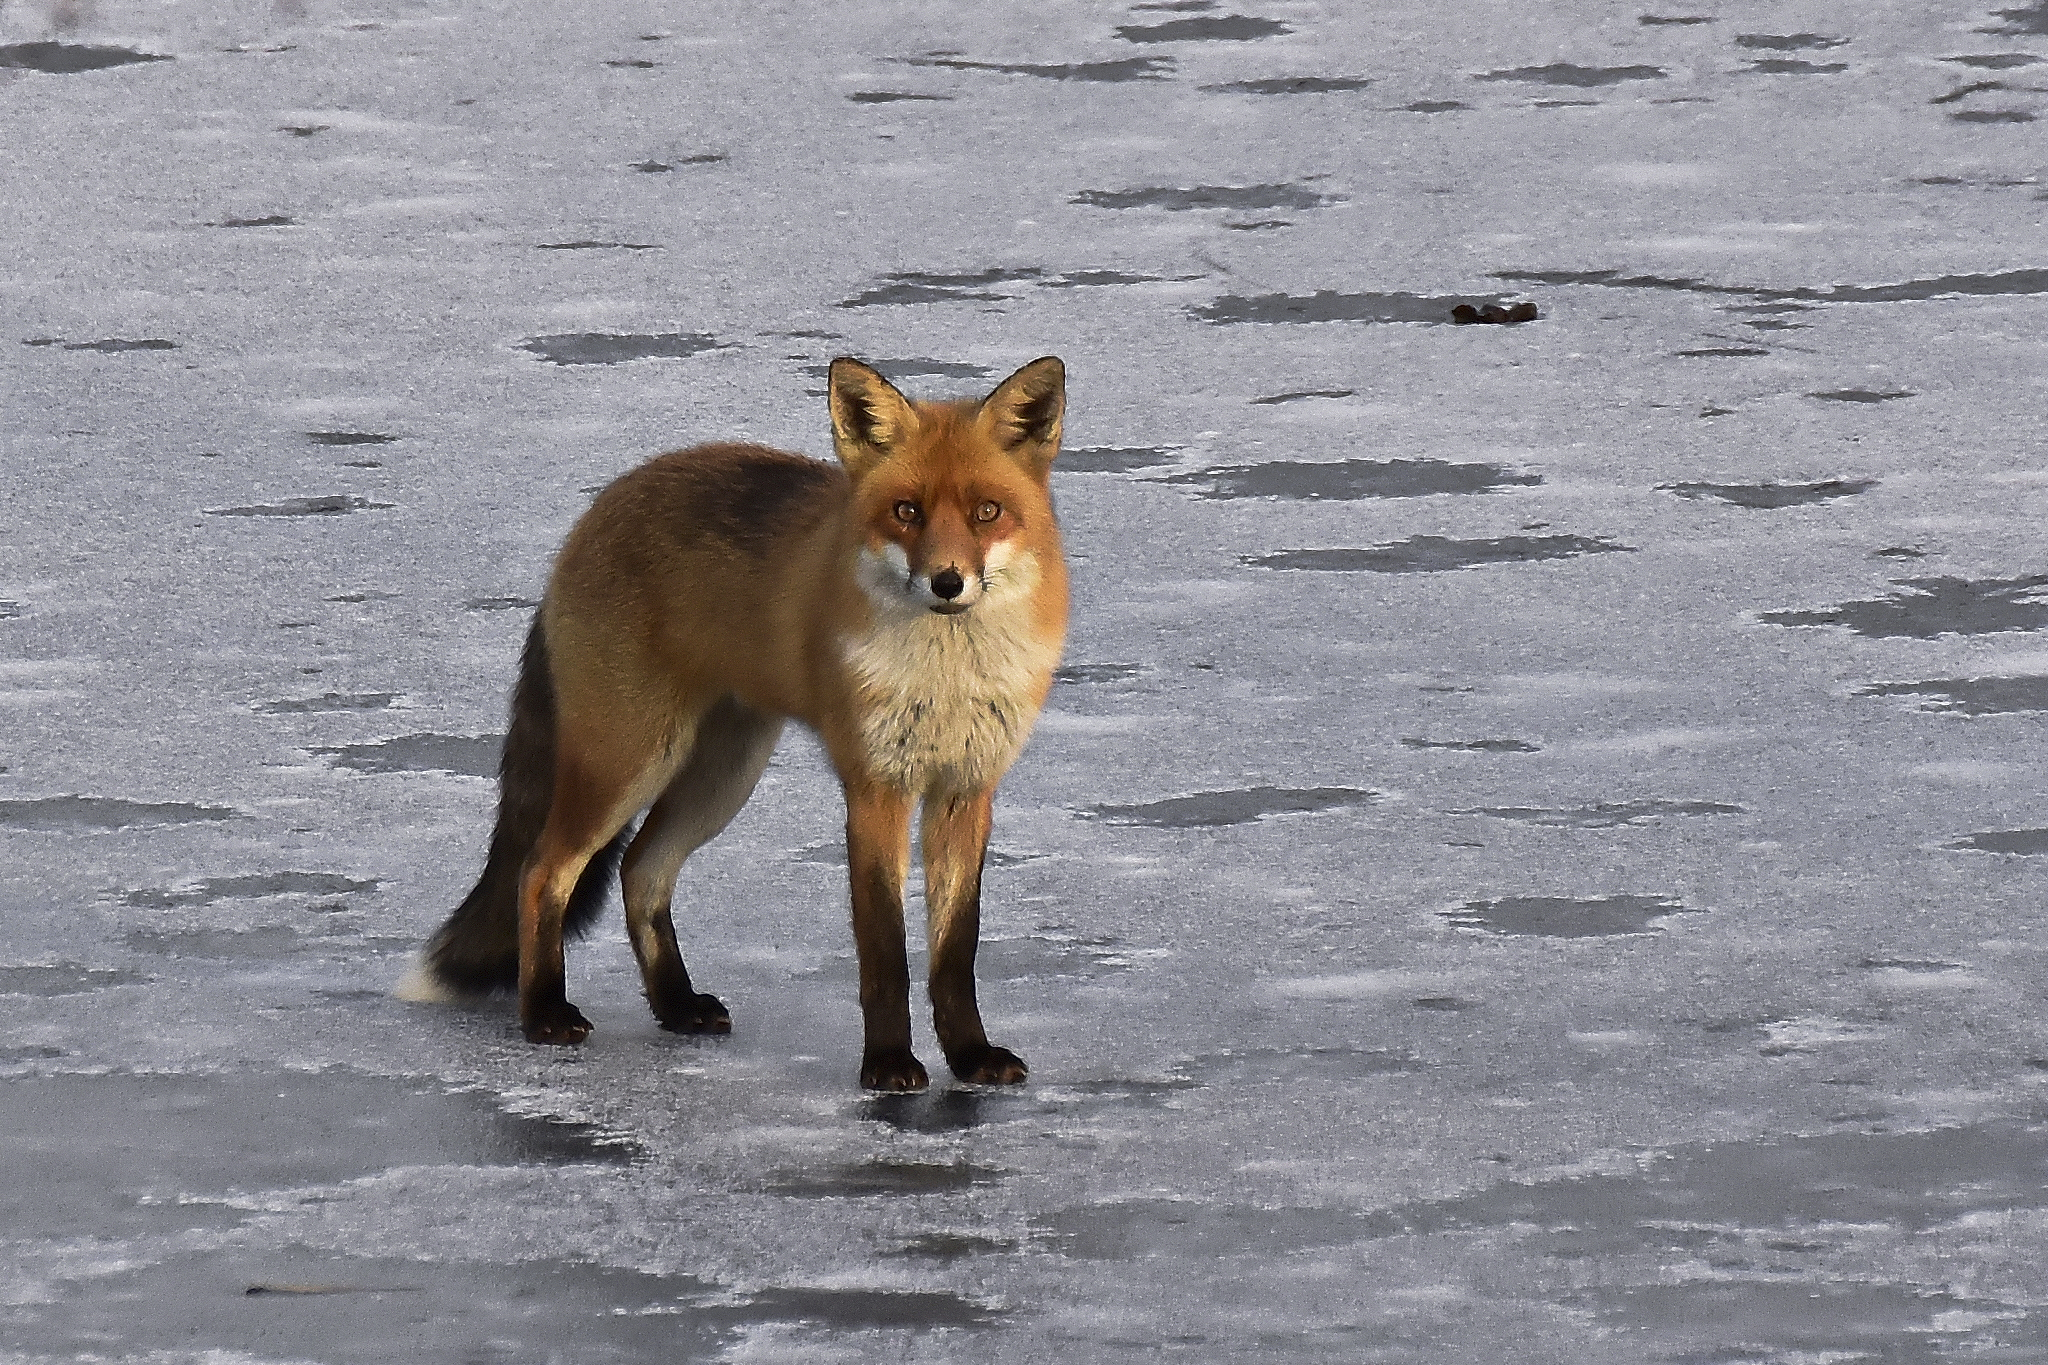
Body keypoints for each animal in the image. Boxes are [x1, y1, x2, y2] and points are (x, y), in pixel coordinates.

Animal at [398, 356, 1069, 1091]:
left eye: (987, 512)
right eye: (906, 511)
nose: (947, 583)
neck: (946, 676)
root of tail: (601, 506)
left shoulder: (965, 788)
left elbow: (955, 951)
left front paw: (971, 1054)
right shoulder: (875, 787)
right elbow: (884, 953)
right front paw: (889, 1062)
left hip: (722, 775)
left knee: (639, 868)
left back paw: (676, 1004)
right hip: (628, 759)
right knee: (542, 871)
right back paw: (544, 1011)